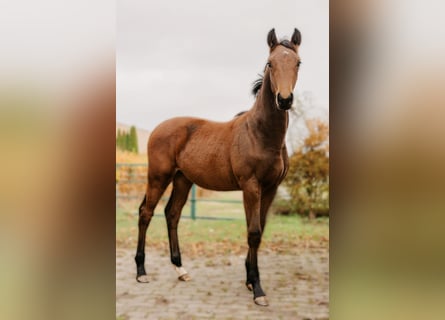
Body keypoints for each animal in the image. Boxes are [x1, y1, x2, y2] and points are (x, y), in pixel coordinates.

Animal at [134, 28, 302, 306]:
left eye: (298, 63)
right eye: (270, 63)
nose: (285, 99)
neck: (261, 134)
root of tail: (158, 128)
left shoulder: (271, 188)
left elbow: (259, 230)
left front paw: (249, 280)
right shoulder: (251, 186)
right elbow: (253, 232)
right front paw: (258, 289)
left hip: (182, 179)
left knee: (172, 213)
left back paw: (181, 270)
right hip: (159, 177)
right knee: (146, 213)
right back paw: (141, 272)